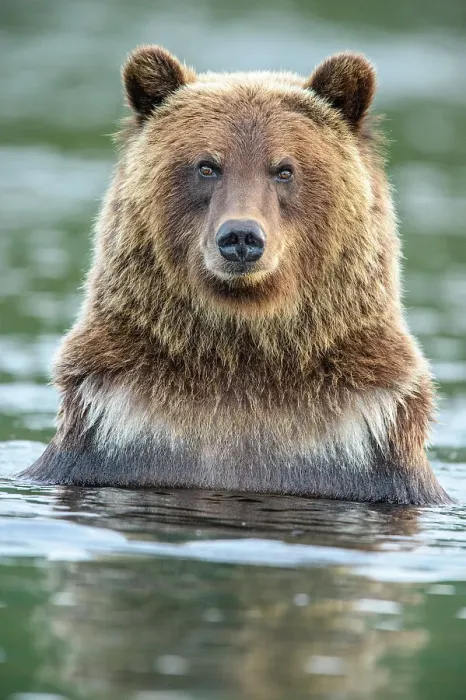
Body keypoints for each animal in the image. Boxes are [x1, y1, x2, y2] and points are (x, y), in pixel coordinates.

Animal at [22, 45, 451, 505]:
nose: (241, 237)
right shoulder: (113, 436)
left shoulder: (367, 453)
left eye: (284, 169)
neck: (241, 349)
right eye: (207, 166)